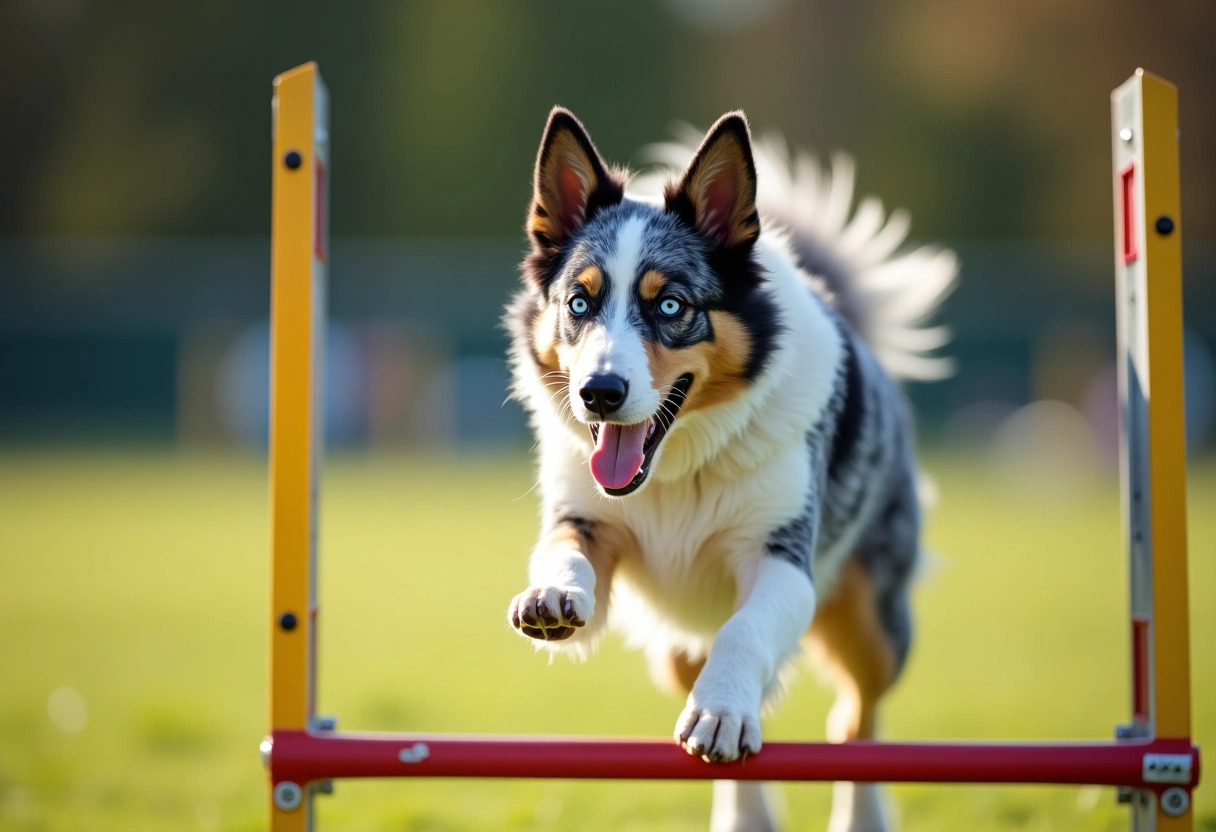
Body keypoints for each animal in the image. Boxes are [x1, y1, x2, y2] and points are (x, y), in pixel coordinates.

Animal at [503, 105, 958, 832]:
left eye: (671, 305)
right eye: (579, 303)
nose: (598, 392)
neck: (678, 467)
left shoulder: (783, 559)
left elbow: (745, 633)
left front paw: (718, 714)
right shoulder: (587, 520)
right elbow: (562, 555)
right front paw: (551, 595)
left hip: (874, 620)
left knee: (855, 718)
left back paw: (859, 815)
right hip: (675, 647)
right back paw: (747, 815)